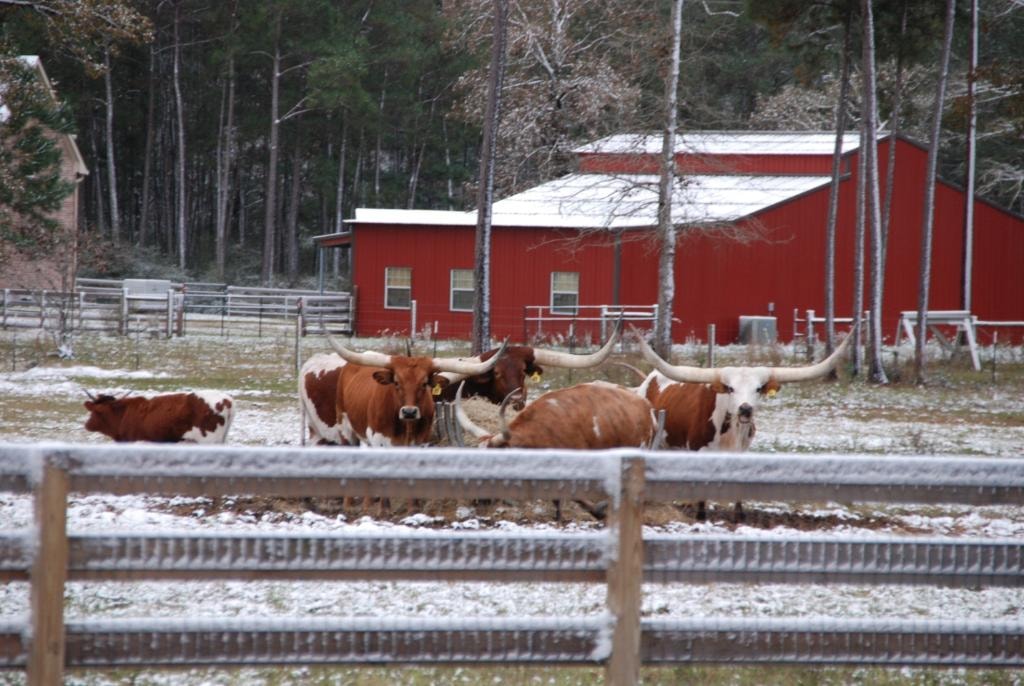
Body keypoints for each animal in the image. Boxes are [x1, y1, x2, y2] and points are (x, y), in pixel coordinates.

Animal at [315, 338, 507, 448]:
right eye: (396, 383)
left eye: (424, 384)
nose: (409, 412)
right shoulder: (379, 441)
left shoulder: (420, 442)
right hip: (346, 430)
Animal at [635, 329, 854, 520]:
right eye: (730, 388)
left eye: (758, 389)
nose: (745, 409)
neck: (731, 432)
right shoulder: (699, 450)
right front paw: (700, 514)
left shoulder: (741, 451)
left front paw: (739, 515)